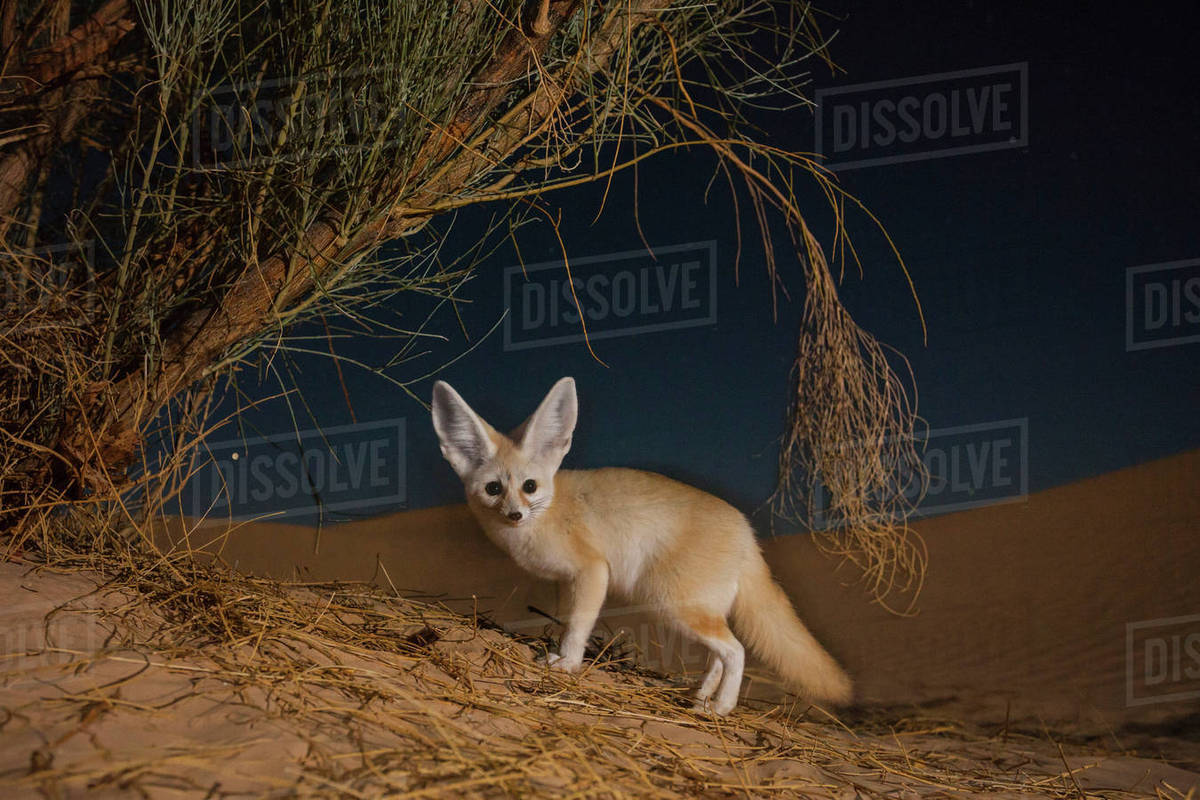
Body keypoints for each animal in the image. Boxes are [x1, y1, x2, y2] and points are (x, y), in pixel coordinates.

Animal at [431, 376, 852, 715]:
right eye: (493, 489)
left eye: (529, 486)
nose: (515, 514)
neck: (548, 511)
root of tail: (748, 533)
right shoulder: (568, 582)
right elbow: (567, 620)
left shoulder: (592, 571)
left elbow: (578, 626)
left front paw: (567, 664)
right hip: (697, 609)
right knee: (719, 656)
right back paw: (701, 698)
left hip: (675, 603)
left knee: (736, 651)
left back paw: (722, 708)